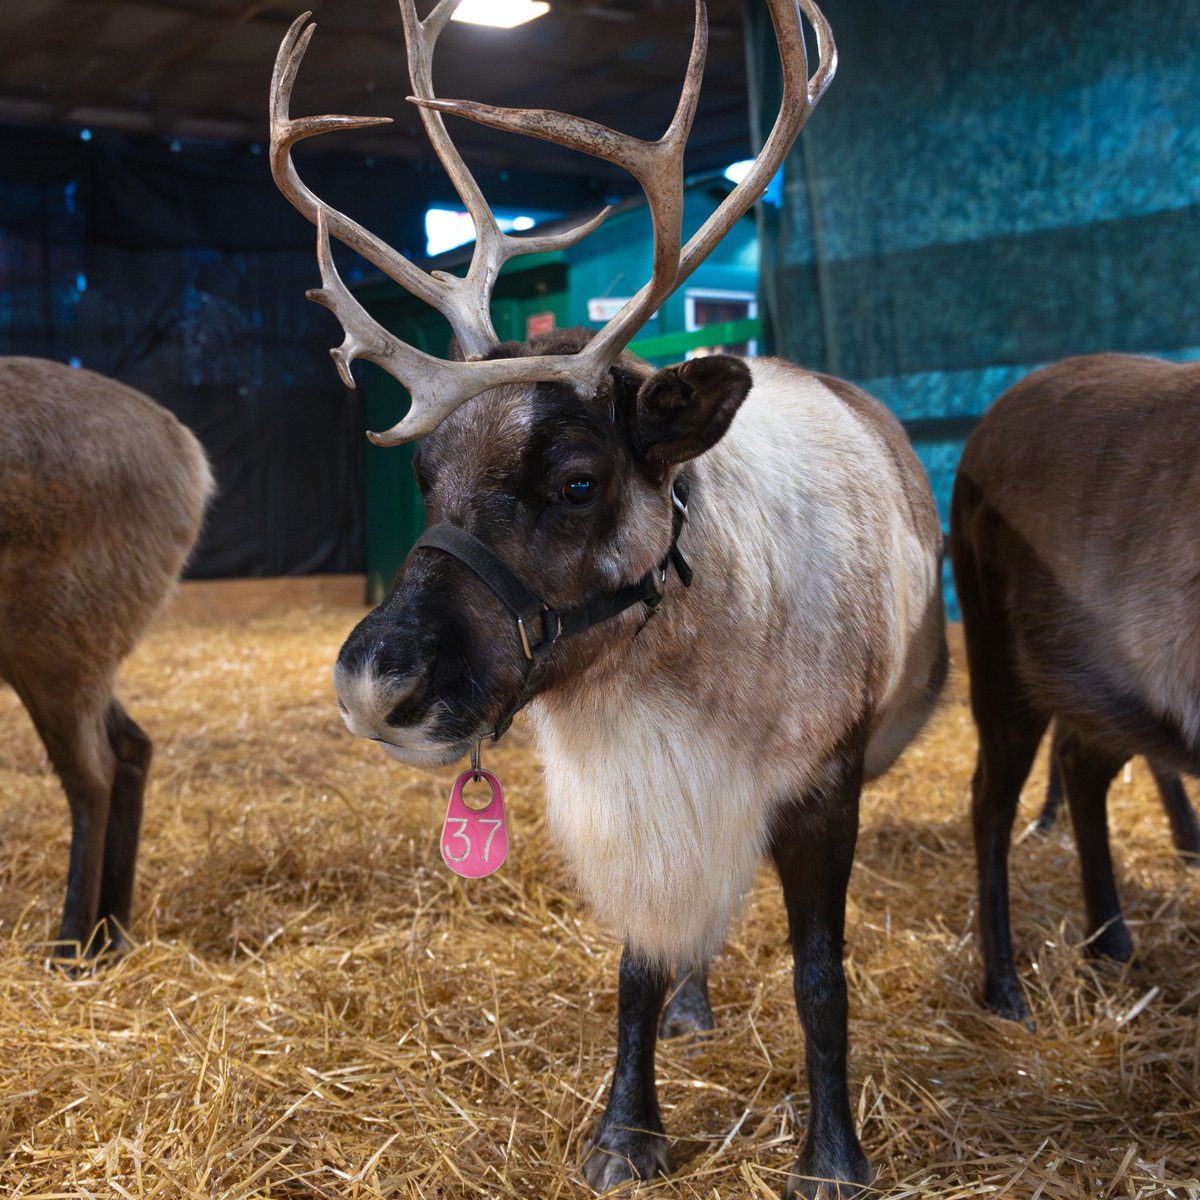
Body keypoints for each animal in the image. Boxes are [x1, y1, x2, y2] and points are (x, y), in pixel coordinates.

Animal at [0, 357, 212, 959]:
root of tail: (193, 461)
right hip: (78, 653)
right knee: (132, 745)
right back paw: (112, 931)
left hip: (57, 643)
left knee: (93, 773)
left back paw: (72, 946)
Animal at [270, 3, 946, 1195]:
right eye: (424, 474)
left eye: (578, 481)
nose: (371, 681)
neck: (682, 682)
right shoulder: (643, 802)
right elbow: (638, 962)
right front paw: (625, 1132)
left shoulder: (824, 783)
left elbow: (821, 975)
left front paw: (832, 1154)